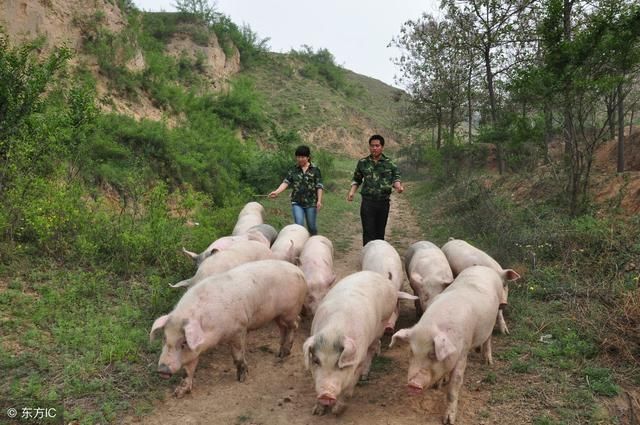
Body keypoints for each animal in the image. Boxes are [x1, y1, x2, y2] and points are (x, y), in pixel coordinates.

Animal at [151, 258, 308, 398]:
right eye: (164, 337)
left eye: (183, 342)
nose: (162, 369)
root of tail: (299, 271)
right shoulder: (195, 350)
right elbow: (188, 370)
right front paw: (178, 393)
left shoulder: (239, 329)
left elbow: (238, 355)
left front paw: (241, 379)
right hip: (278, 315)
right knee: (283, 328)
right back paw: (279, 354)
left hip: (290, 311)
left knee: (296, 323)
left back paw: (286, 353)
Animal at [302, 272, 418, 414]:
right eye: (316, 361)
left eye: (339, 364)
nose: (326, 395)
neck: (333, 331)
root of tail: (388, 283)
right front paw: (317, 412)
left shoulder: (359, 360)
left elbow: (348, 389)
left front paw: (337, 411)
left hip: (381, 324)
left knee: (373, 347)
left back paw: (364, 376)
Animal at [390, 264, 504, 422]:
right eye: (411, 351)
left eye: (432, 354)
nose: (413, 384)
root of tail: (483, 267)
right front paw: (439, 384)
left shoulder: (463, 353)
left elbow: (453, 387)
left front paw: (448, 420)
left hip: (492, 319)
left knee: (488, 339)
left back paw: (488, 362)